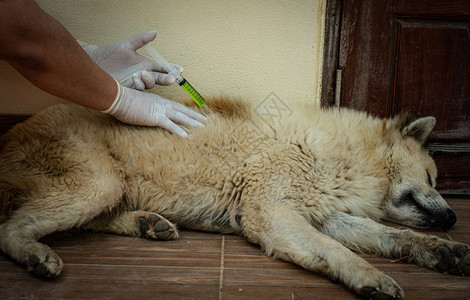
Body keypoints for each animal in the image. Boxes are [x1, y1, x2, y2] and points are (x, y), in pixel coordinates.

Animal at [0, 97, 468, 298]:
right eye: (431, 176)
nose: (452, 219)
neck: (346, 155)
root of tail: (11, 132)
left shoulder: (327, 216)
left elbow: (387, 236)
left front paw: (440, 251)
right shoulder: (270, 214)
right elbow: (338, 251)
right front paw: (370, 277)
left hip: (107, 187)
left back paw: (148, 223)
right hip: (96, 184)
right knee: (10, 227)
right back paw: (34, 253)